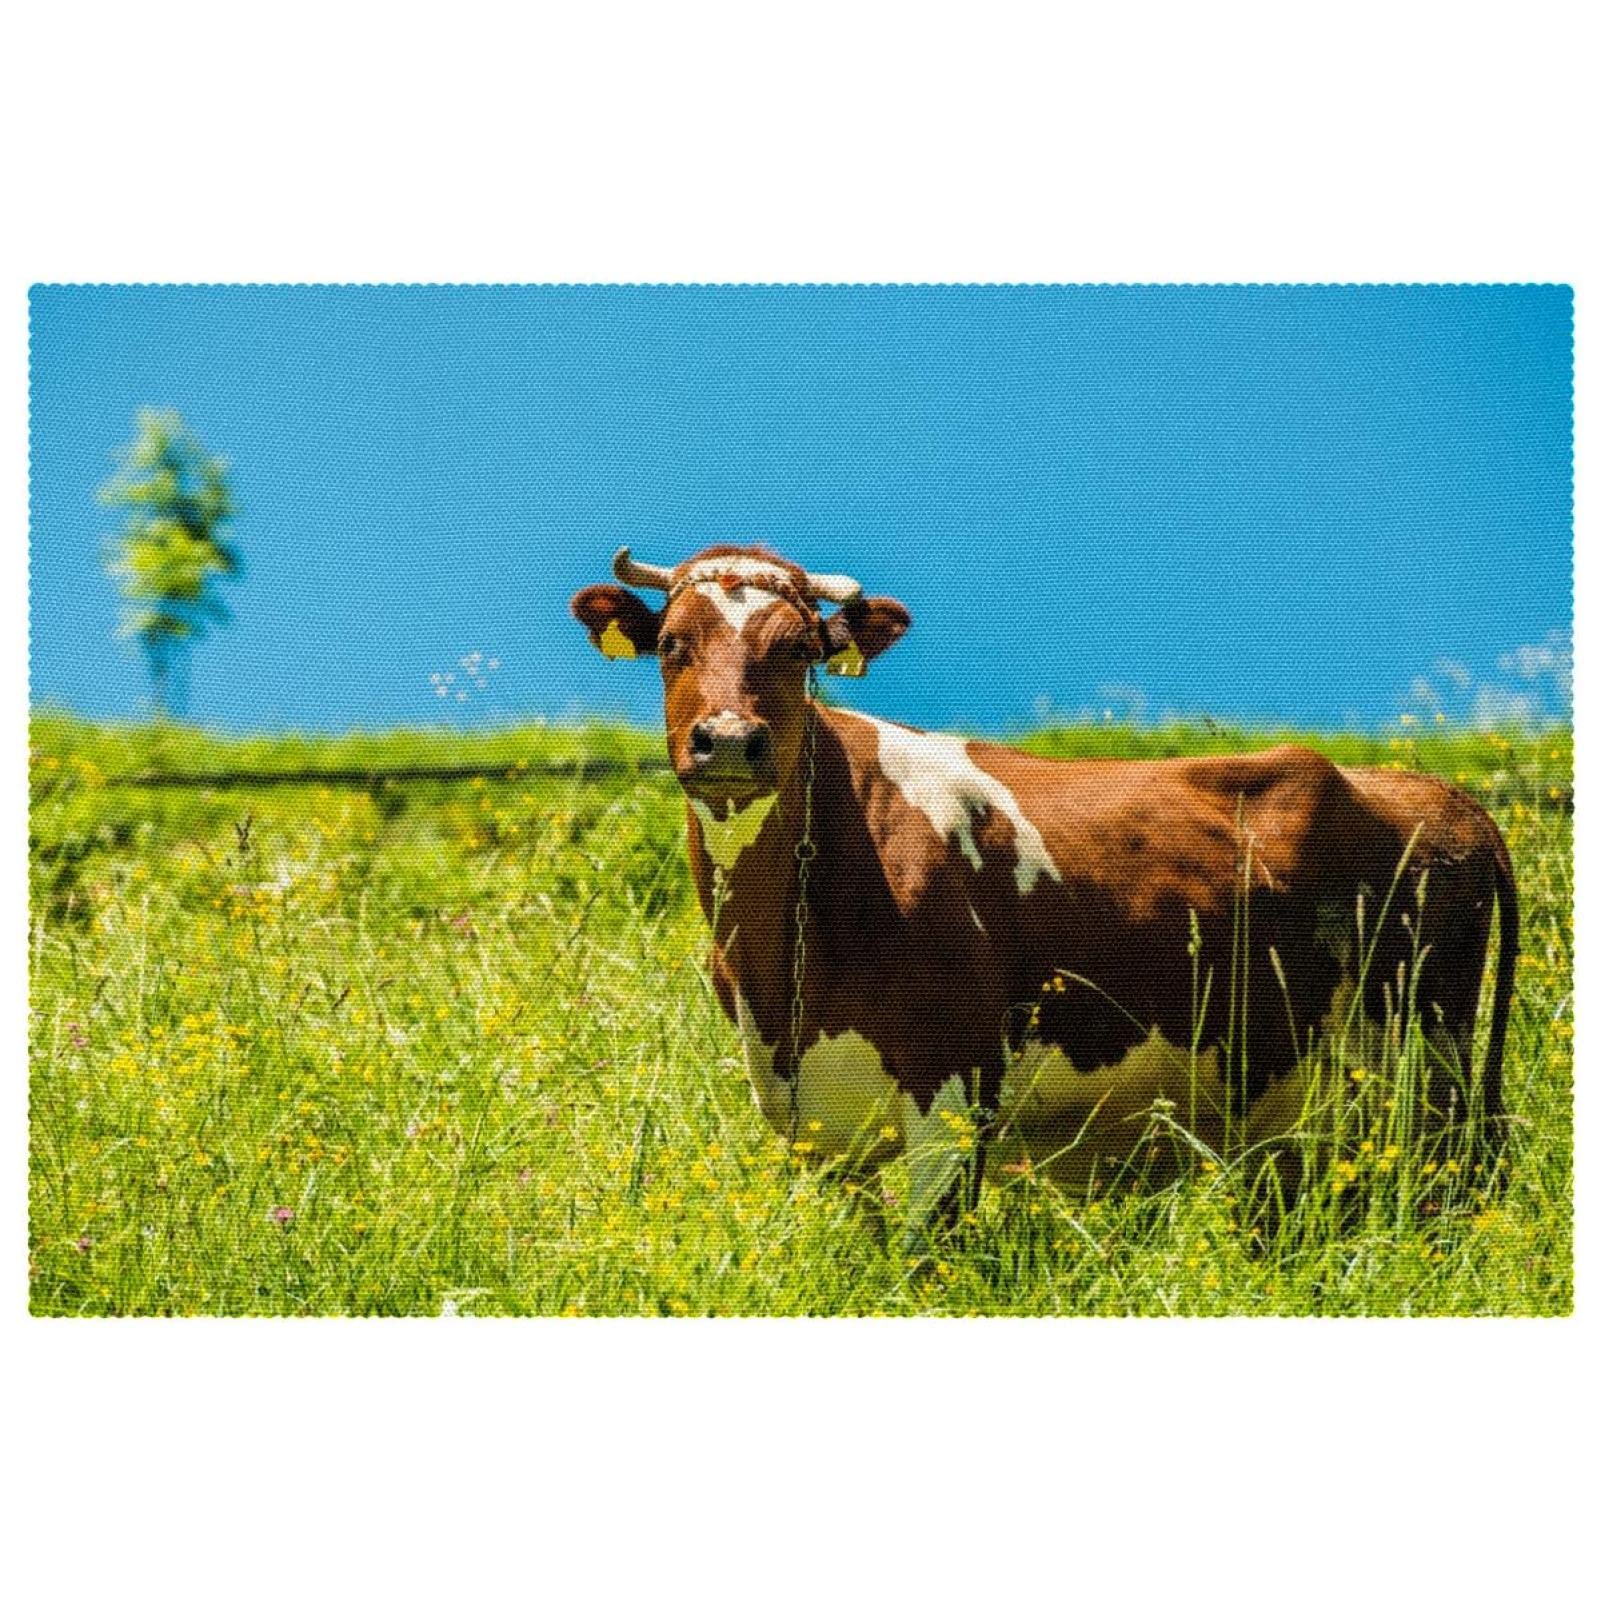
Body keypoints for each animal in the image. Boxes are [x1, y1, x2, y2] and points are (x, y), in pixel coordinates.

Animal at [571, 543, 1518, 1230]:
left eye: (798, 646)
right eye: (670, 645)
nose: (730, 741)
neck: (784, 963)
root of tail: (1436, 794)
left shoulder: (954, 1088)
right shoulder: (811, 1117)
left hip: (1426, 1068)